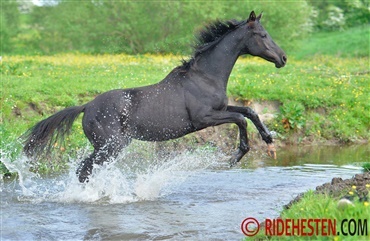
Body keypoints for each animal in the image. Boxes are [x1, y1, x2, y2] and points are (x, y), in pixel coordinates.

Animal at [23, 10, 286, 182]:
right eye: (263, 35)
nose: (283, 58)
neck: (205, 76)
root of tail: (86, 106)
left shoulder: (220, 109)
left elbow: (249, 111)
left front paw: (268, 139)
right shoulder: (203, 119)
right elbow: (240, 119)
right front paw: (237, 156)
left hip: (110, 146)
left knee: (86, 169)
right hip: (111, 145)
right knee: (84, 169)